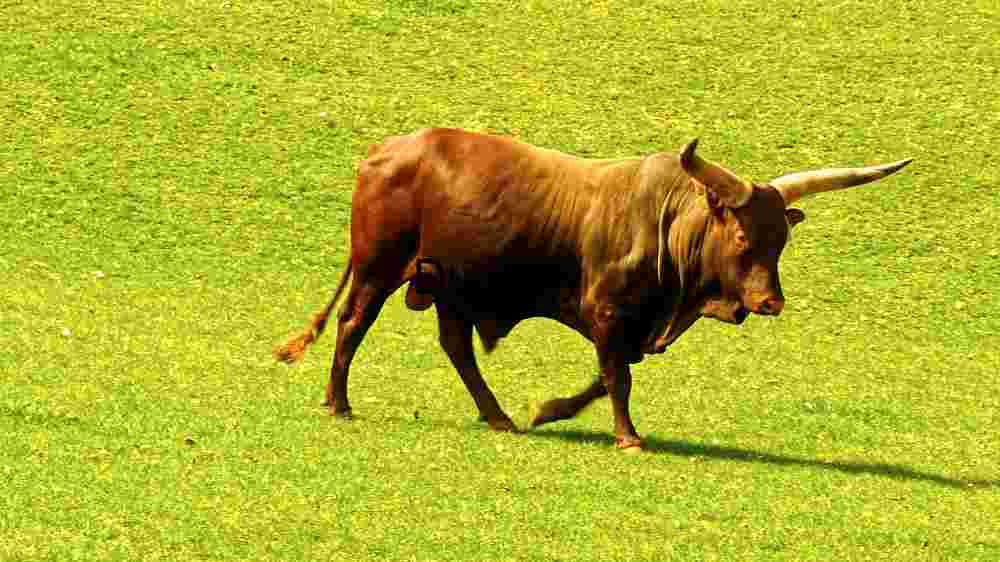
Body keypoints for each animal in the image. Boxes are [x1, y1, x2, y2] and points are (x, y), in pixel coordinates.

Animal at [274, 128, 911, 450]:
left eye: (781, 241)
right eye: (742, 237)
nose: (769, 302)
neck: (667, 223)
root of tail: (384, 151)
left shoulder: (632, 325)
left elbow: (605, 380)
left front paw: (549, 410)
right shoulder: (606, 313)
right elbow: (617, 378)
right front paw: (628, 438)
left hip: (446, 284)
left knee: (456, 348)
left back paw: (499, 417)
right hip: (378, 269)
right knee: (352, 324)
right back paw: (339, 403)